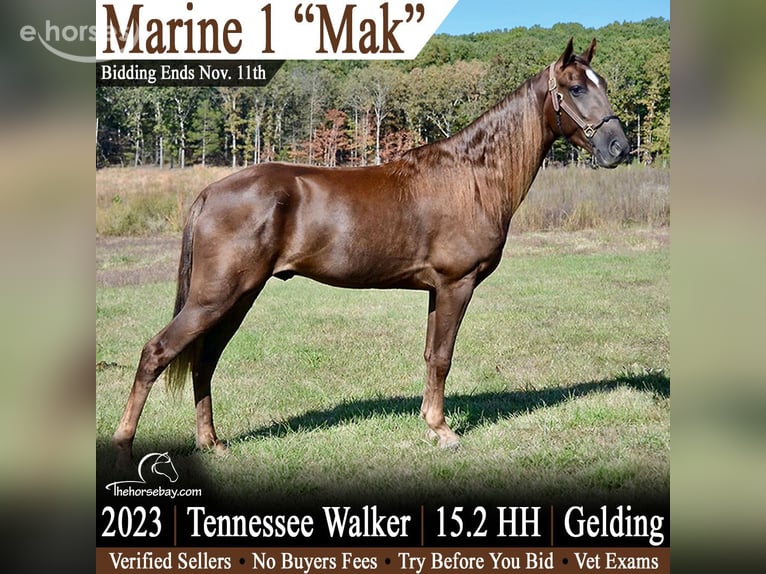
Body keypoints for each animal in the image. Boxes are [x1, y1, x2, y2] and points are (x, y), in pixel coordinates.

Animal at [112, 38, 629, 466]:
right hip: (215, 297)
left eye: (600, 85)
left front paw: (430, 424)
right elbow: (443, 357)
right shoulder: (456, 284)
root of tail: (210, 192)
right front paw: (444, 432)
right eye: (576, 88)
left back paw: (211, 443)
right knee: (157, 353)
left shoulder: (436, 289)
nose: (619, 147)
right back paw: (124, 444)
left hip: (237, 298)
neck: (473, 177)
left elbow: (430, 354)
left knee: (204, 361)